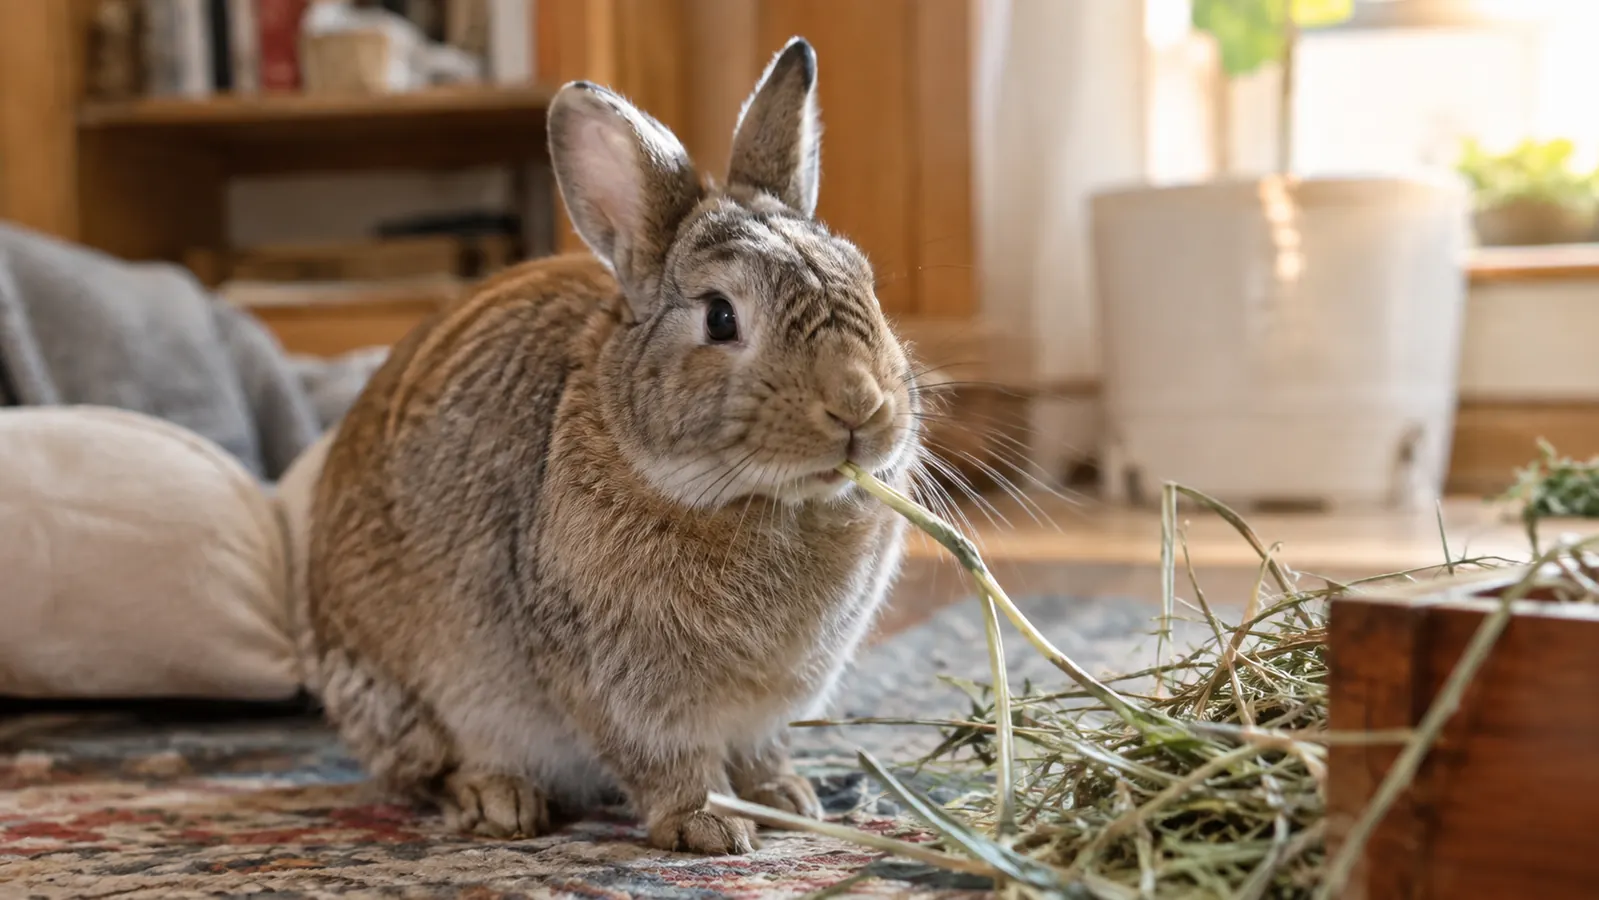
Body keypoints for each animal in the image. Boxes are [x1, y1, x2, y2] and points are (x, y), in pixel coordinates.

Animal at [306, 36, 921, 856]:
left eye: (867, 283)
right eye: (720, 317)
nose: (858, 406)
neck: (748, 498)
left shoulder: (768, 707)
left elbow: (762, 750)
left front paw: (790, 798)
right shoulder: (621, 685)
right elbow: (666, 762)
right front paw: (709, 827)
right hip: (409, 693)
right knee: (429, 770)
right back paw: (498, 801)